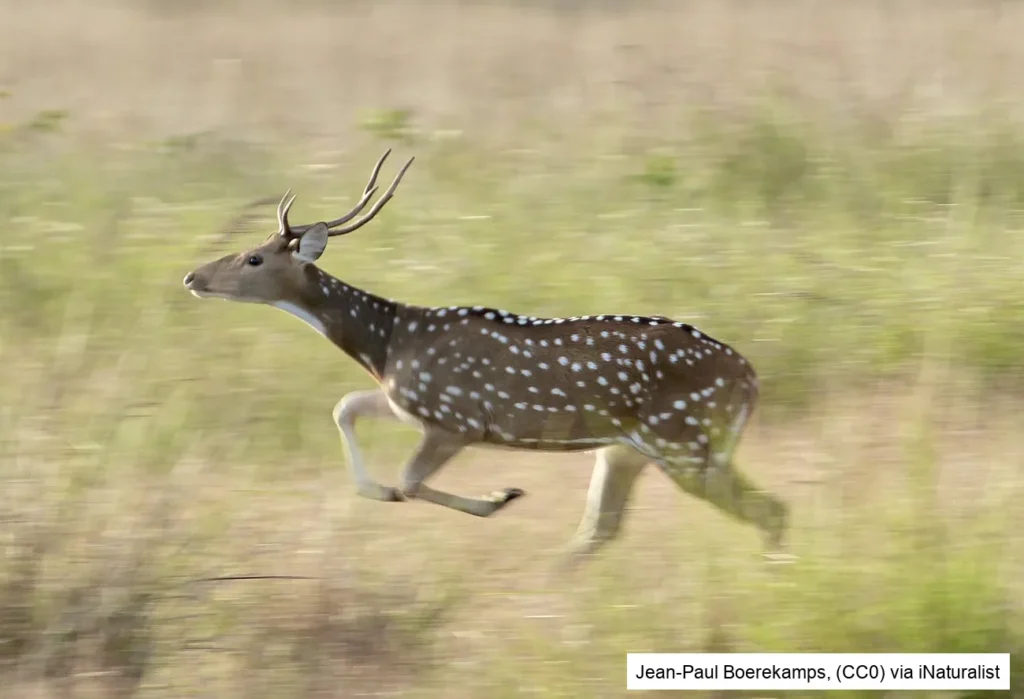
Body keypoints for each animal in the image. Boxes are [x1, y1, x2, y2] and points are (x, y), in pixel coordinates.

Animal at [182, 150, 791, 565]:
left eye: (255, 257)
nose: (193, 276)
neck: (387, 343)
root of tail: (752, 379)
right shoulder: (405, 404)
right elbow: (346, 407)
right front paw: (383, 490)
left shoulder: (457, 419)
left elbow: (410, 480)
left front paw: (499, 496)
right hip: (627, 451)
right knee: (601, 529)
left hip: (684, 442)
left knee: (770, 510)